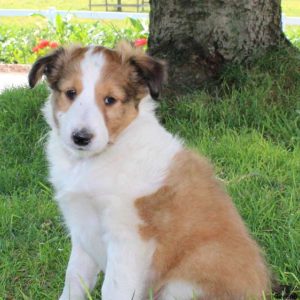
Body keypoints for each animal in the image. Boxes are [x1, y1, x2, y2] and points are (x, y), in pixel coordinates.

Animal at [29, 42, 270, 300]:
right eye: (70, 93)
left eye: (110, 99)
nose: (81, 138)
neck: (94, 160)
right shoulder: (81, 229)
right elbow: (74, 280)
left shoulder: (128, 238)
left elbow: (113, 289)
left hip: (185, 280)